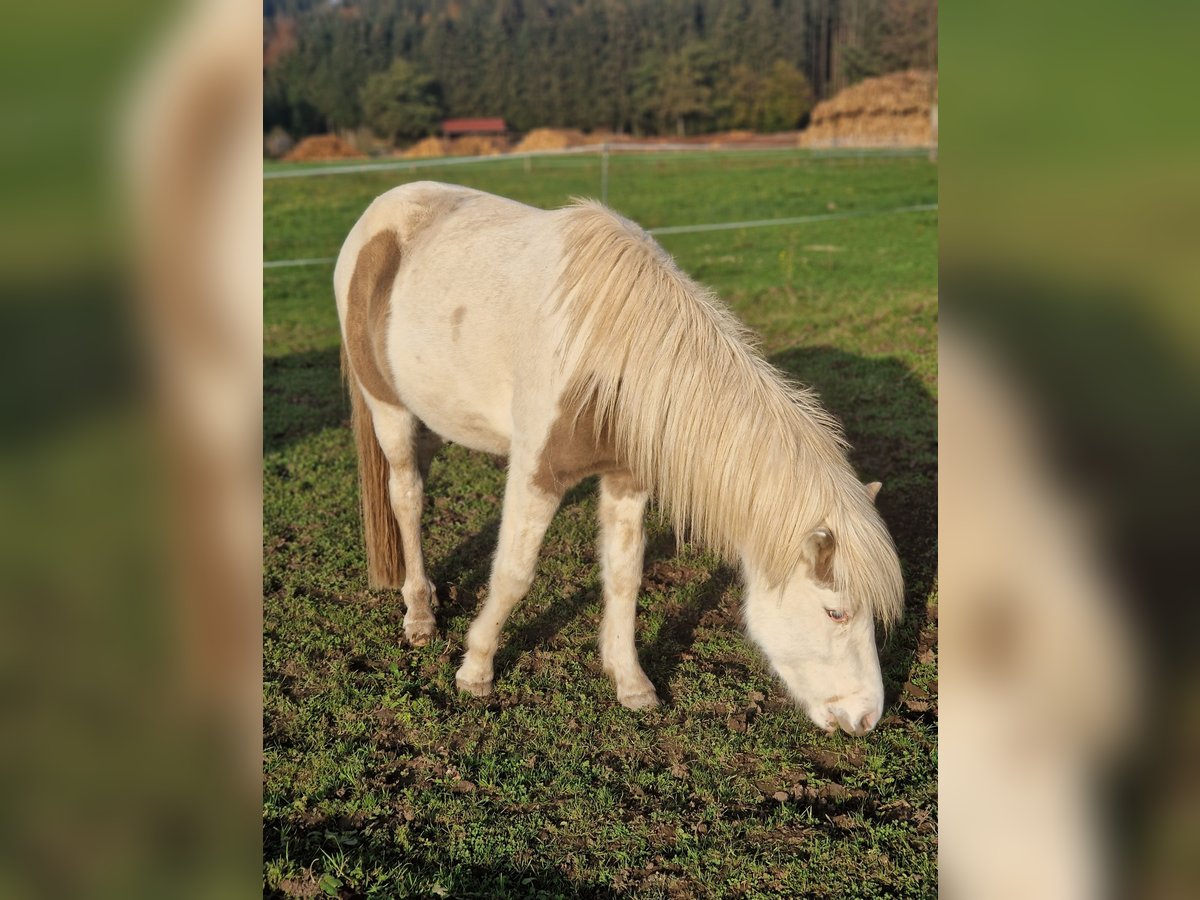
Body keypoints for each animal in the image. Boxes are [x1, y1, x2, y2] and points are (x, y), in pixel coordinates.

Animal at [333, 180, 902, 734]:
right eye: (835, 613)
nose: (866, 718)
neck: (610, 351)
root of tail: (381, 211)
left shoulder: (628, 478)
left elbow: (626, 576)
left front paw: (631, 682)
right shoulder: (537, 473)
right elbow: (514, 574)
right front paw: (476, 670)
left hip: (433, 415)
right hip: (389, 409)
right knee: (406, 497)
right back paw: (419, 614)